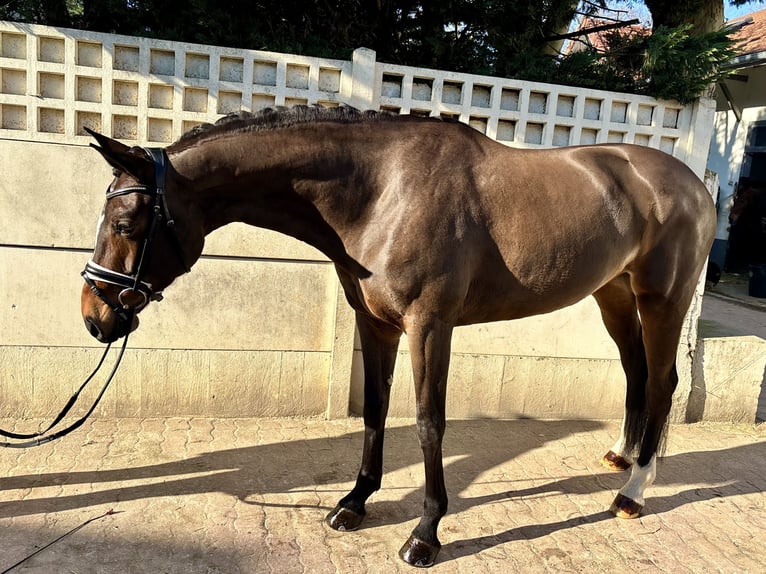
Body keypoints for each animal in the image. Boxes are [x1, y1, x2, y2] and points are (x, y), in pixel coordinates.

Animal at [81, 106, 716, 568]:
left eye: (125, 224)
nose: (94, 316)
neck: (383, 191)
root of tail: (694, 184)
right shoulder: (376, 323)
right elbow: (375, 409)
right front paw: (354, 502)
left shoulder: (429, 327)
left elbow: (430, 423)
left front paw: (426, 533)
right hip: (613, 296)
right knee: (635, 371)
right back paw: (623, 457)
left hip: (662, 301)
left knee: (662, 381)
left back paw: (634, 491)